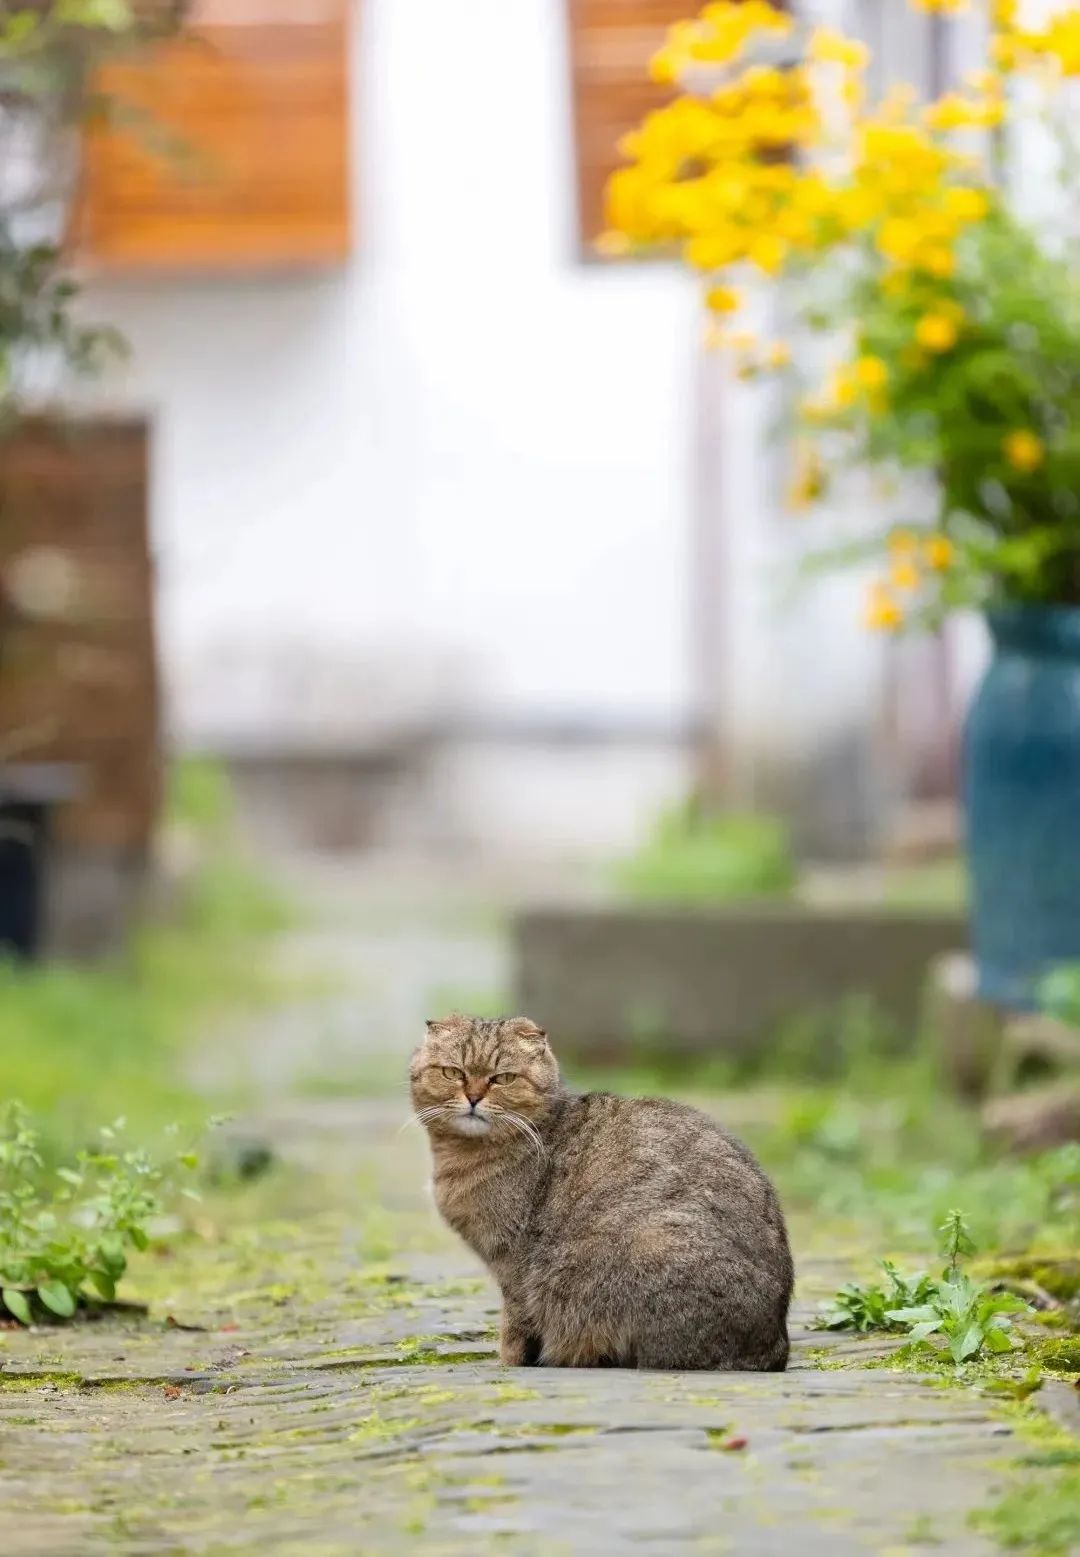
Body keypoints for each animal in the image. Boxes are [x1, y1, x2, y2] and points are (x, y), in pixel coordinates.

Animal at [410, 1014, 793, 1371]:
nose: (473, 1097)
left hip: (651, 1245)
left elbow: (515, 1326)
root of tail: (774, 1344)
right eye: (452, 1073)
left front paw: (508, 1361)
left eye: (503, 1078)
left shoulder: (513, 1266)